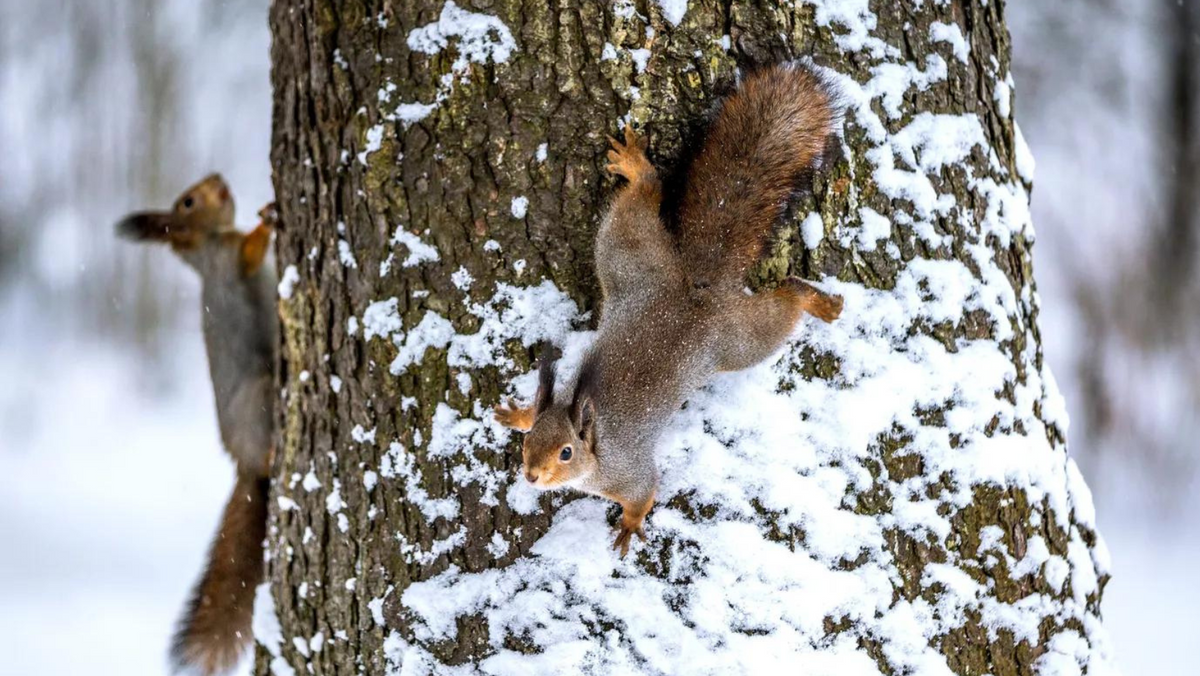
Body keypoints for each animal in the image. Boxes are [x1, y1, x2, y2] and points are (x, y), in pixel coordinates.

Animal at [115, 176, 277, 676]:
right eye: (188, 201)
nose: (219, 180)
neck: (210, 241)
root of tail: (244, 465)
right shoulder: (230, 262)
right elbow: (251, 252)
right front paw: (269, 218)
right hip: (259, 396)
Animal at [494, 66, 844, 557]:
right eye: (530, 440)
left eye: (566, 452)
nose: (530, 475)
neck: (596, 444)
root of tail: (694, 282)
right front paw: (518, 413)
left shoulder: (629, 472)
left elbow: (644, 494)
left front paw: (628, 526)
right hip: (630, 257)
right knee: (642, 199)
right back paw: (634, 166)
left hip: (736, 338)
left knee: (785, 299)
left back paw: (820, 302)